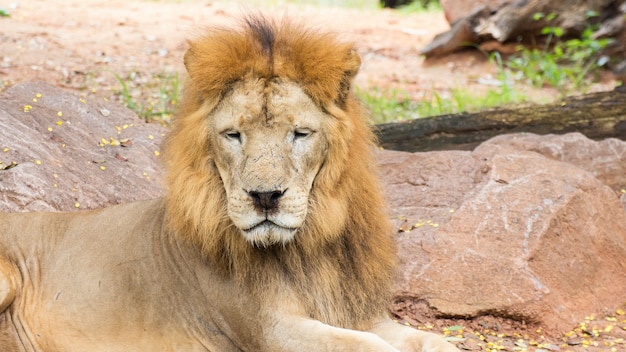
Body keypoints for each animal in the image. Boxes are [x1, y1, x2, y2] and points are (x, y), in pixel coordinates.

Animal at [0, 14, 456, 352]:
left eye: (300, 134)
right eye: (233, 135)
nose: (265, 197)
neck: (309, 247)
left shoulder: (358, 312)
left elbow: (433, 343)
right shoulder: (272, 331)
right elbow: (368, 345)